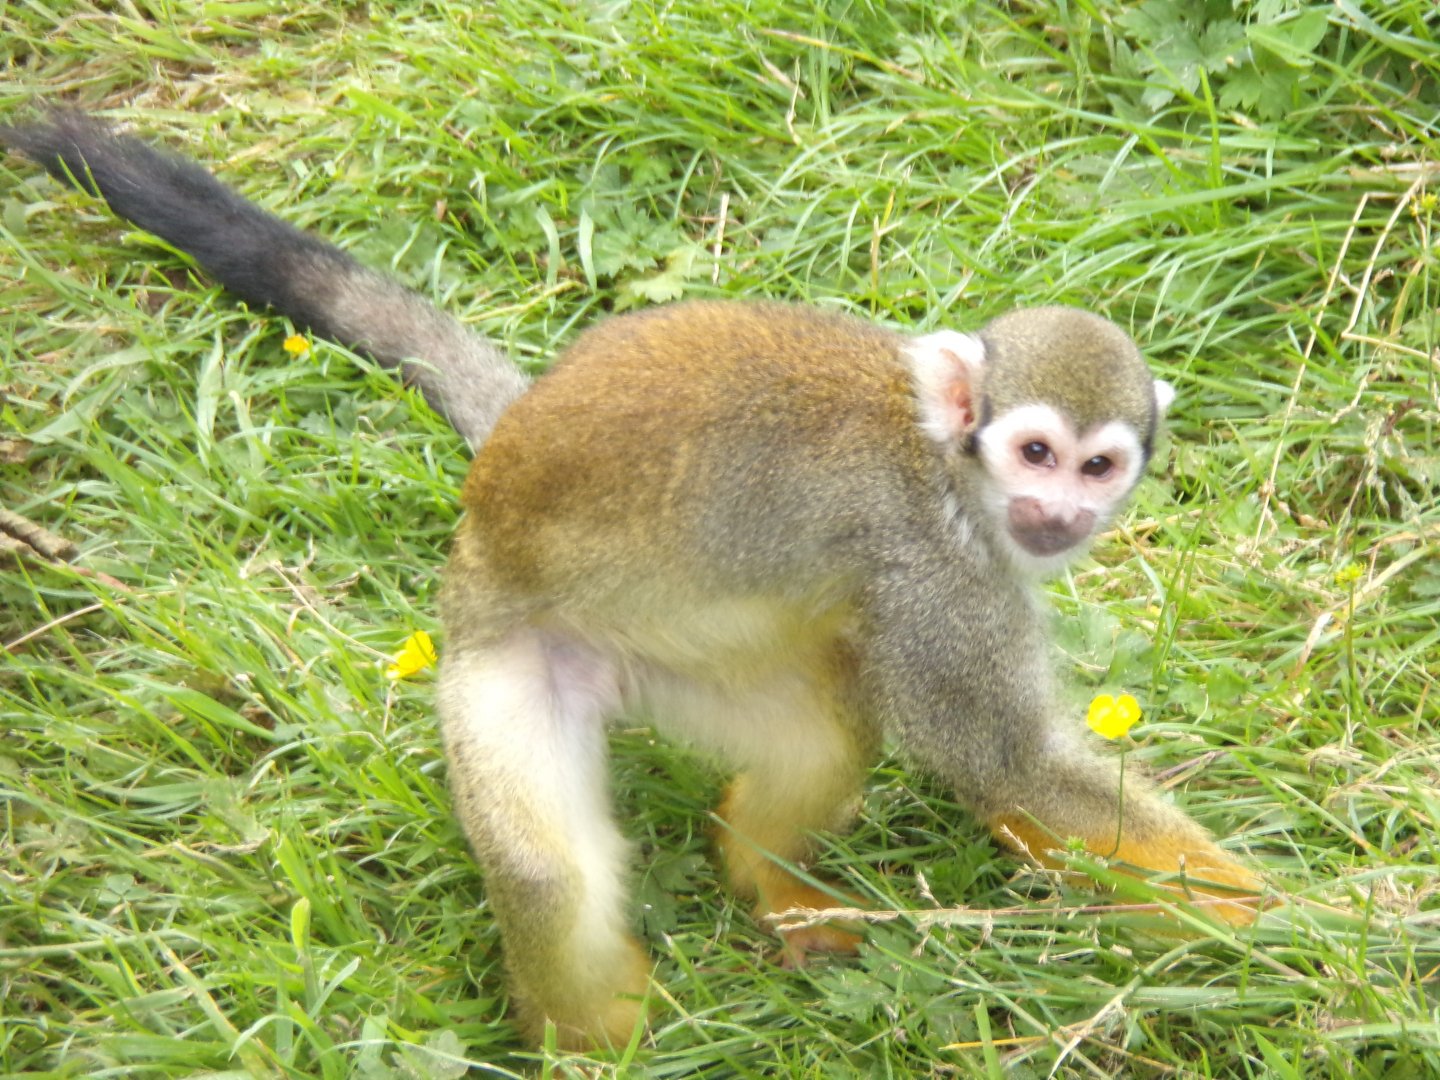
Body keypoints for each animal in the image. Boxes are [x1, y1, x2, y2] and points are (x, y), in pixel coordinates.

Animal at [3, 111, 1264, 1050]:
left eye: (1101, 466)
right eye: (1036, 453)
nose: (1063, 515)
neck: (943, 464)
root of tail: (493, 492)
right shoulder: (932, 565)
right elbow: (1003, 760)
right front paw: (1280, 924)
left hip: (687, 662)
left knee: (819, 739)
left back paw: (767, 883)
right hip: (500, 661)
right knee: (549, 875)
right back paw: (592, 1041)